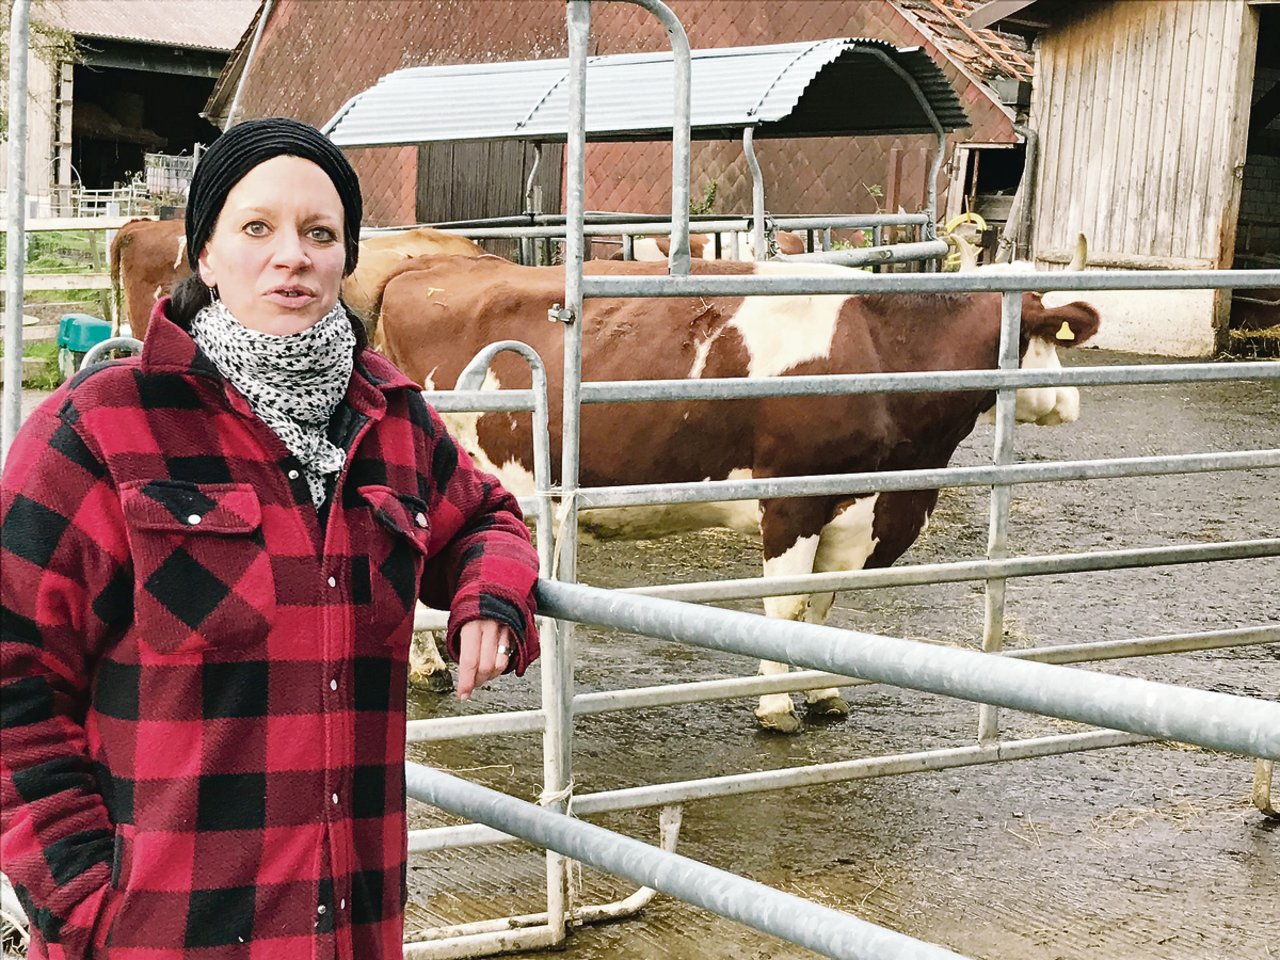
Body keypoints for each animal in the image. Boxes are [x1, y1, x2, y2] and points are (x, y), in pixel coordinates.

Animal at [376, 259, 1100, 732]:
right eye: (1040, 338)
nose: (1070, 402)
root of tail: (424, 269)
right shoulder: (792, 500)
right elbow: (785, 608)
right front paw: (777, 709)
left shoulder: (861, 509)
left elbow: (823, 611)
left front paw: (824, 694)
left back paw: (428, 667)